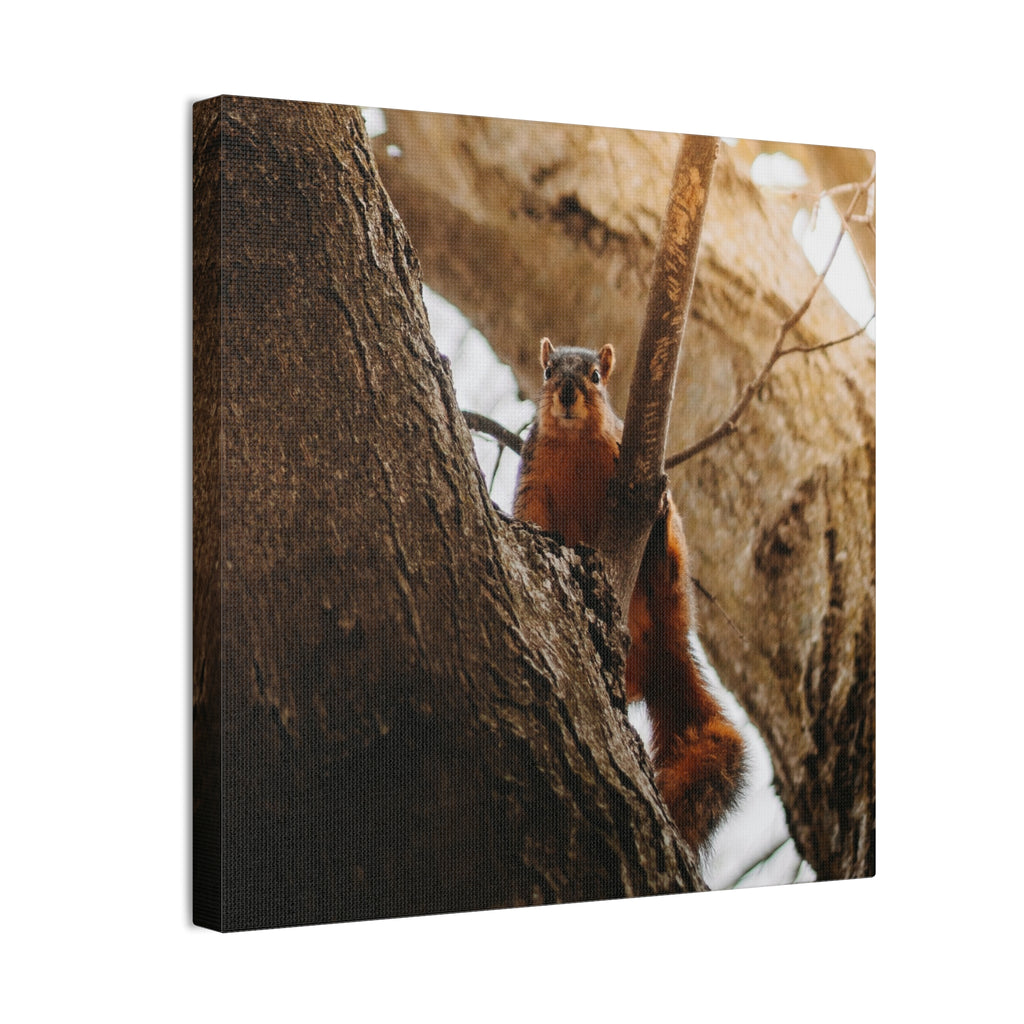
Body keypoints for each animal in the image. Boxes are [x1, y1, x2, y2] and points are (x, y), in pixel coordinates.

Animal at [514, 338, 745, 854]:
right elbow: (532, 517)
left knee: (668, 573)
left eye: (597, 376)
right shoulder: (533, 475)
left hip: (673, 593)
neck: (575, 444)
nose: (567, 392)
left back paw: (660, 539)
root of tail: (665, 648)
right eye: (548, 371)